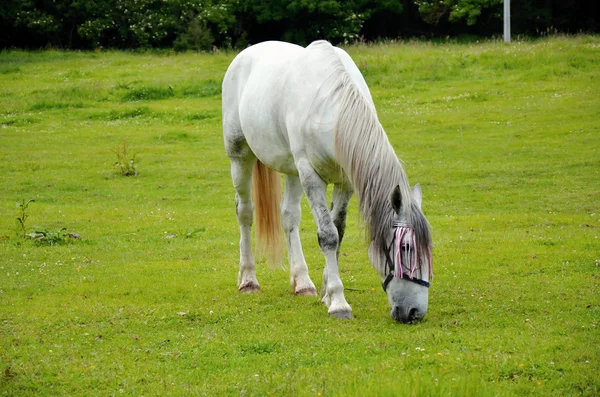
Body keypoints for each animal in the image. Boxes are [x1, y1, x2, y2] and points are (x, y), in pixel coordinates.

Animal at [220, 39, 432, 322]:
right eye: (406, 247)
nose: (414, 312)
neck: (332, 111)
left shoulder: (345, 182)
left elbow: (338, 231)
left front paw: (325, 292)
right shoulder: (311, 176)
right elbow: (328, 235)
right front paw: (339, 303)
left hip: (292, 169)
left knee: (289, 217)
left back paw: (302, 283)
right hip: (240, 156)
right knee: (244, 213)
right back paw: (248, 279)